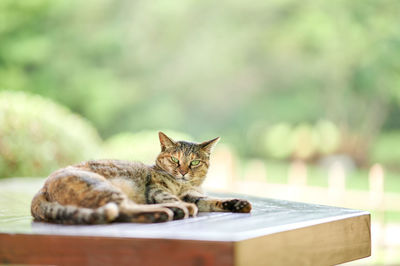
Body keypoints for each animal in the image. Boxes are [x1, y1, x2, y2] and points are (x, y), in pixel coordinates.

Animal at [31, 132, 252, 223]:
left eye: (195, 162)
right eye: (174, 159)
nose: (183, 171)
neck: (182, 187)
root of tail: (41, 189)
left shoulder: (193, 194)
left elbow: (211, 200)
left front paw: (237, 203)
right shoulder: (156, 188)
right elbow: (175, 197)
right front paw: (184, 205)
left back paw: (167, 212)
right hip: (104, 187)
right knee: (121, 210)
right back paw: (169, 211)